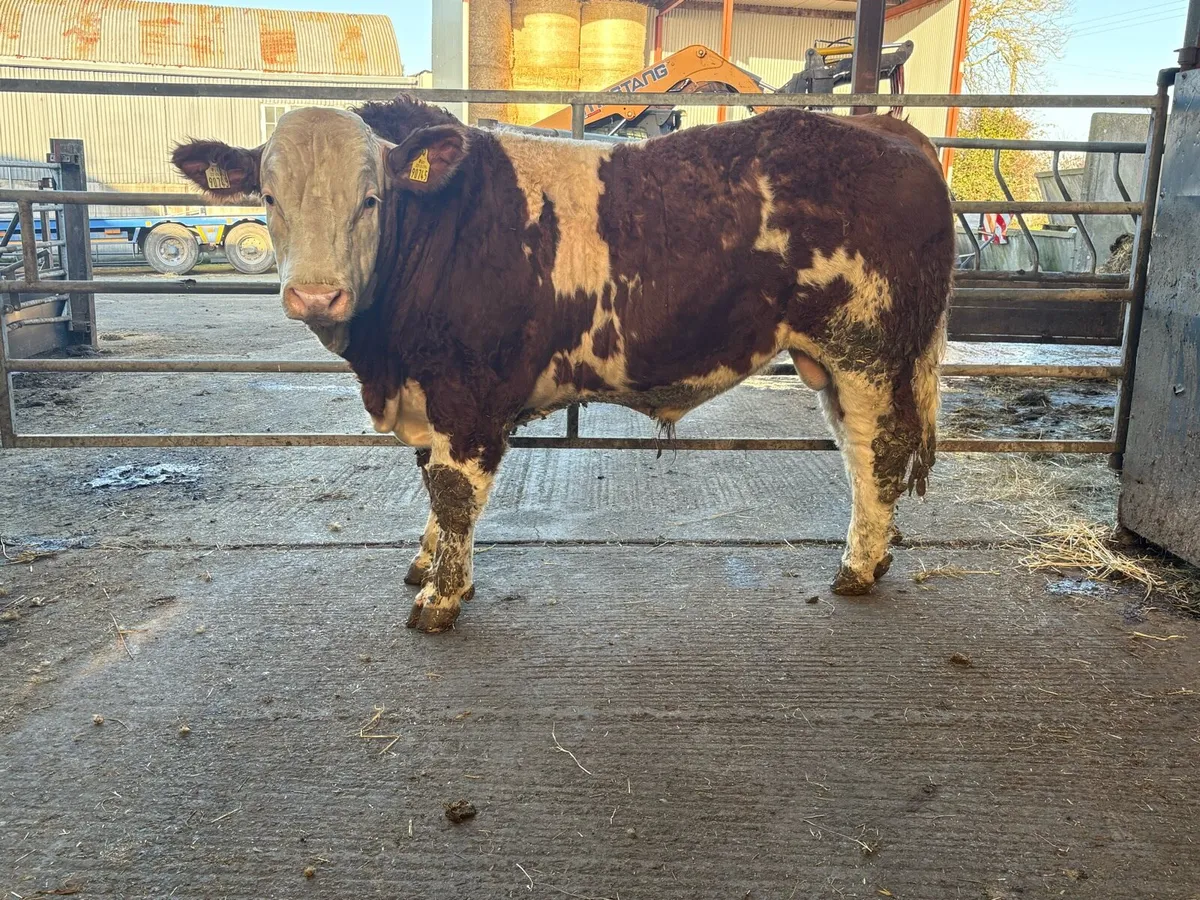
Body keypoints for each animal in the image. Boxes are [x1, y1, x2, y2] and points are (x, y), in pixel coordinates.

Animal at [172, 96, 954, 633]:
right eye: (268, 195)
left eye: (372, 198)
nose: (314, 293)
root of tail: (890, 129)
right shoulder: (429, 392)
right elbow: (430, 482)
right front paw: (427, 562)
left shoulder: (468, 392)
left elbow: (453, 493)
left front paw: (441, 597)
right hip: (834, 359)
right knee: (858, 451)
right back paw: (872, 557)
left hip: (867, 349)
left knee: (877, 451)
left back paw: (856, 568)